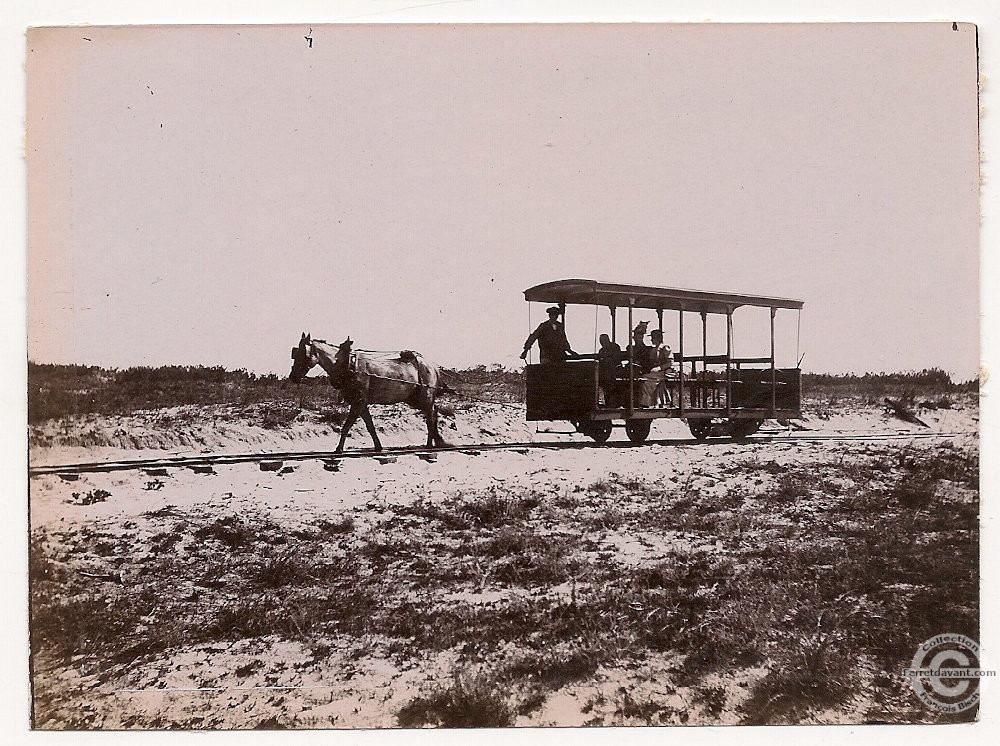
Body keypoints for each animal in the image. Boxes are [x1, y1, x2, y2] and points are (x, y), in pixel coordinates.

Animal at [288, 332, 448, 450]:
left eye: (303, 353)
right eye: (295, 353)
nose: (293, 377)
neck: (348, 365)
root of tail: (433, 366)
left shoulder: (358, 402)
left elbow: (347, 426)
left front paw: (338, 449)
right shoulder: (361, 403)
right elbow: (369, 426)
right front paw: (378, 447)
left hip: (425, 397)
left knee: (430, 417)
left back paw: (429, 444)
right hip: (415, 399)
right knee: (433, 413)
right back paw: (435, 441)